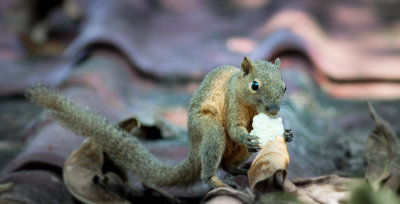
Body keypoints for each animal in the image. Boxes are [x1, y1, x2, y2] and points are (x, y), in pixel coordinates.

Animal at [25, 56, 294, 190]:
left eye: (284, 86)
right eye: (255, 85)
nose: (273, 110)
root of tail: (193, 149)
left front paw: (286, 134)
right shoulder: (231, 103)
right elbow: (234, 127)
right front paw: (248, 136)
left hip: (232, 152)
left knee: (227, 163)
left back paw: (238, 169)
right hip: (208, 131)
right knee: (210, 164)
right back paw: (217, 181)